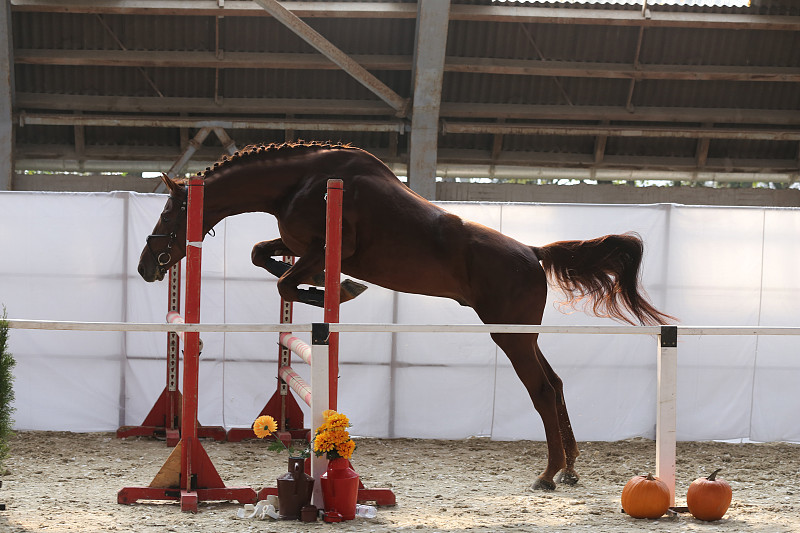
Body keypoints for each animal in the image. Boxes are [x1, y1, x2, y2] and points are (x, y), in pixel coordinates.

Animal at [139, 141, 676, 490]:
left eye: (167, 212)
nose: (147, 267)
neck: (300, 181)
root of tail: (532, 251)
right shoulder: (298, 246)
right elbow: (262, 258)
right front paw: (332, 288)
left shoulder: (330, 250)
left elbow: (286, 282)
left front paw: (342, 291)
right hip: (522, 334)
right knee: (558, 384)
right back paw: (569, 468)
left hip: (509, 336)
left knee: (543, 390)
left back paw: (547, 475)